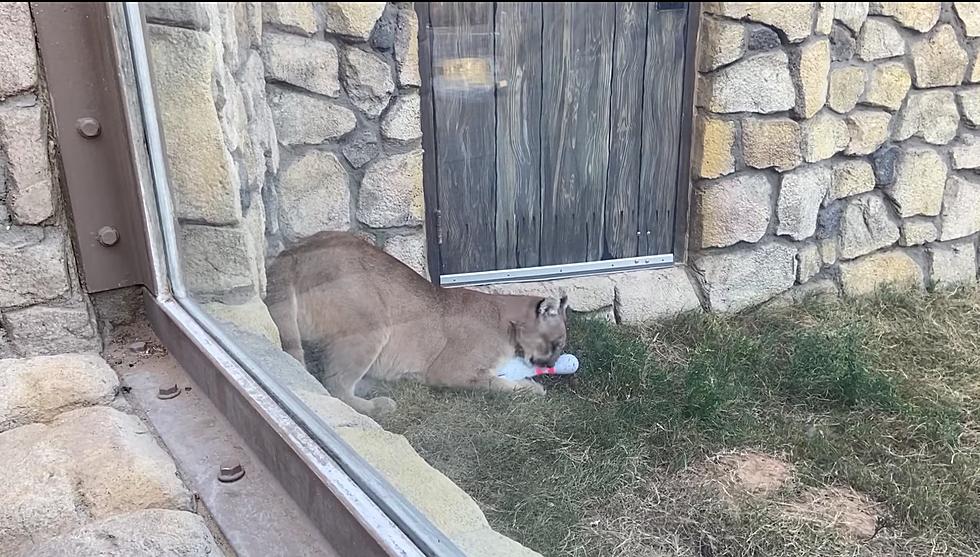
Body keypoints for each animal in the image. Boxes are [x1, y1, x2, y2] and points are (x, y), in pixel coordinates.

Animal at [264, 231, 572, 416]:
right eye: (556, 343)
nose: (552, 362)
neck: (505, 321)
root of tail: (293, 252)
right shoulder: (452, 371)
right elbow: (497, 384)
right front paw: (533, 389)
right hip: (372, 325)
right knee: (335, 386)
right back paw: (377, 405)